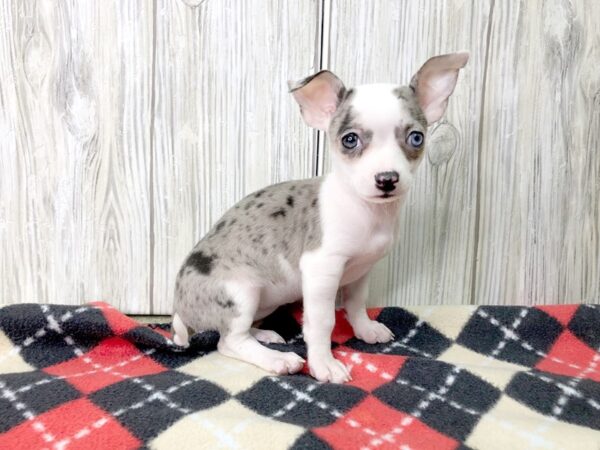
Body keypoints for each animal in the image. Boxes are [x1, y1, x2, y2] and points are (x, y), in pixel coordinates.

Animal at [172, 53, 468, 384]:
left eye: (416, 138)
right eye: (350, 140)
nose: (387, 179)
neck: (365, 211)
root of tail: (179, 308)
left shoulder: (361, 272)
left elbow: (356, 305)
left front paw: (365, 329)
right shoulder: (321, 271)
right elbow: (322, 323)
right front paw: (324, 363)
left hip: (264, 300)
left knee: (239, 332)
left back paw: (265, 336)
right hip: (241, 292)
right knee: (229, 341)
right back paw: (277, 359)